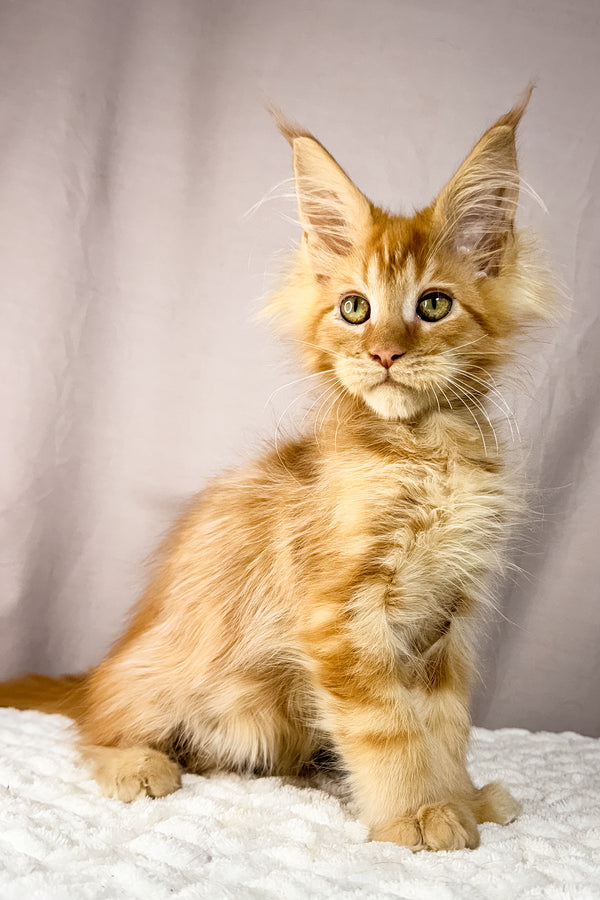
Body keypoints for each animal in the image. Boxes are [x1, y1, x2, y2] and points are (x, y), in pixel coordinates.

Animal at [0, 89, 552, 852]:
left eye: (434, 304)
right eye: (355, 308)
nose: (384, 353)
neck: (426, 453)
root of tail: (101, 669)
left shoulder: (446, 621)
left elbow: (442, 727)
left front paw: (462, 799)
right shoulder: (340, 615)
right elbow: (390, 730)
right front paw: (416, 814)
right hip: (163, 675)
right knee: (96, 726)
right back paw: (137, 763)